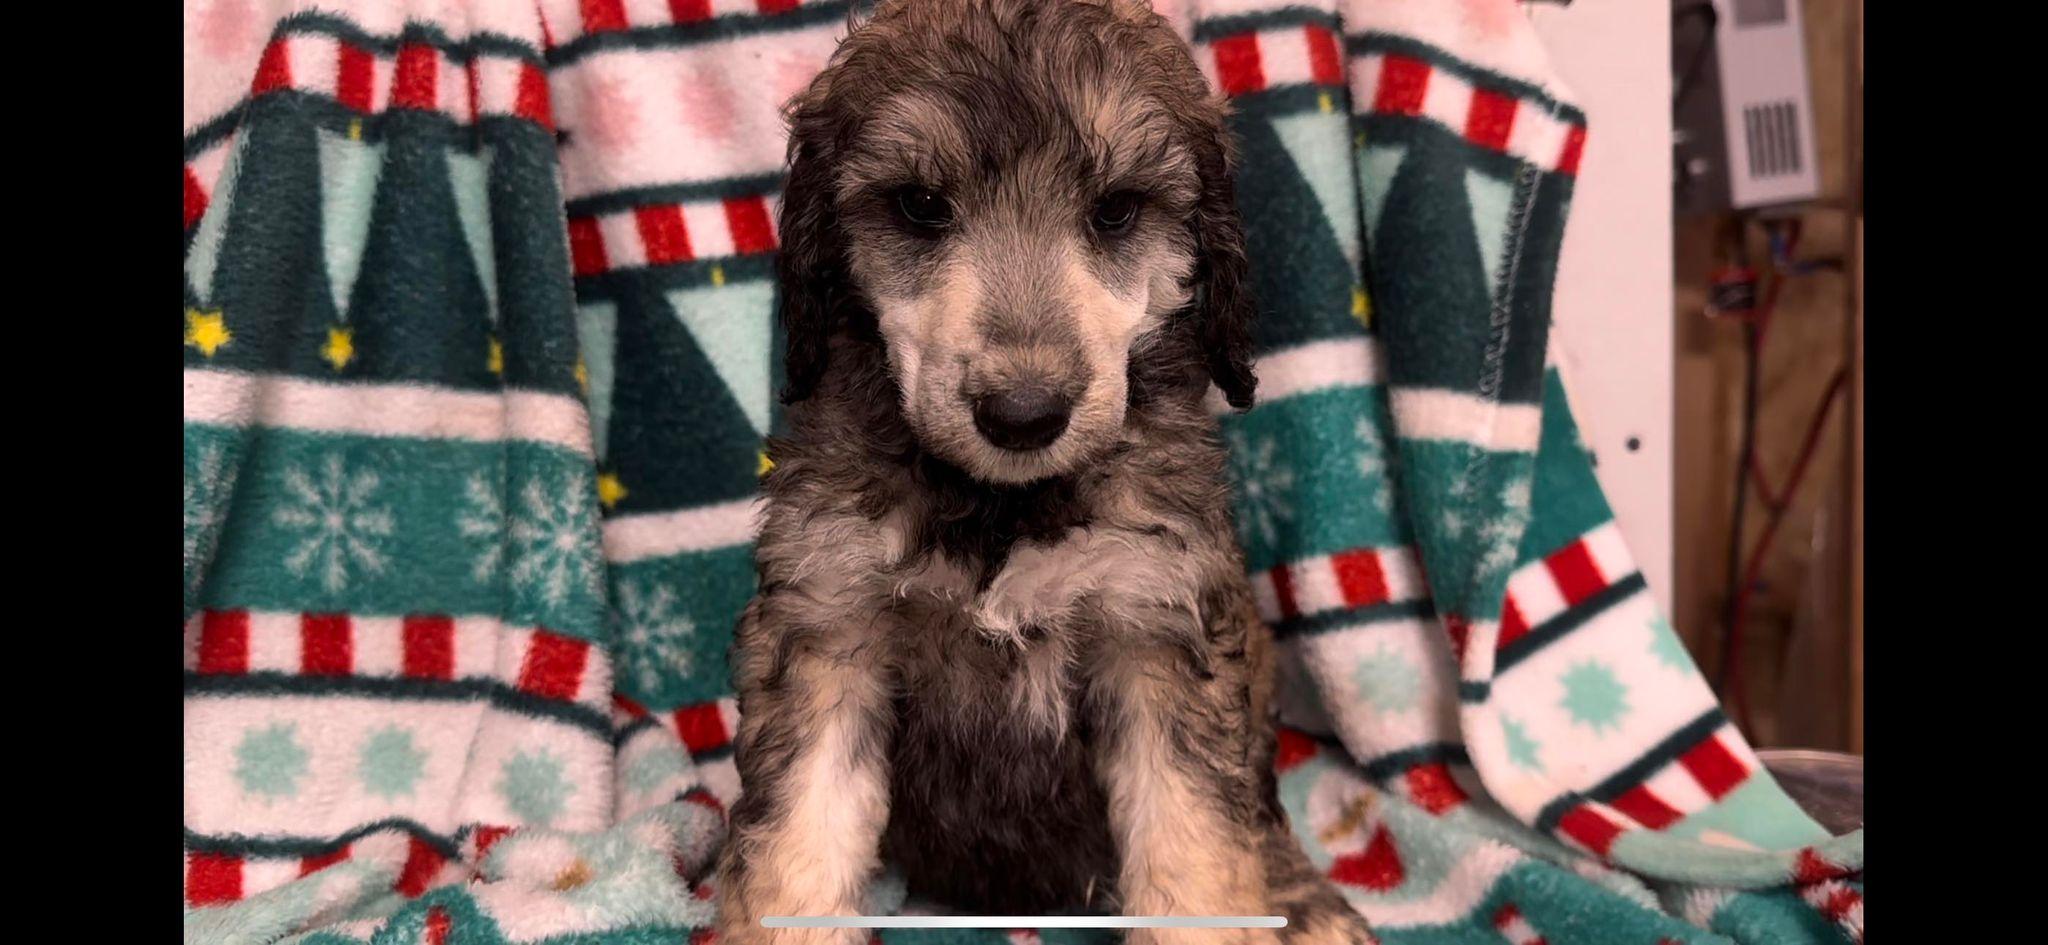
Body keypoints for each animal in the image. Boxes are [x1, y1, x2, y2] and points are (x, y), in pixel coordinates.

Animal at [716, 2, 1372, 943]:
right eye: (921, 205)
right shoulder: (829, 621)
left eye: (1117, 210)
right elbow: (797, 839)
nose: (1023, 414)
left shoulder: (1154, 619)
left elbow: (1197, 844)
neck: (1002, 506)